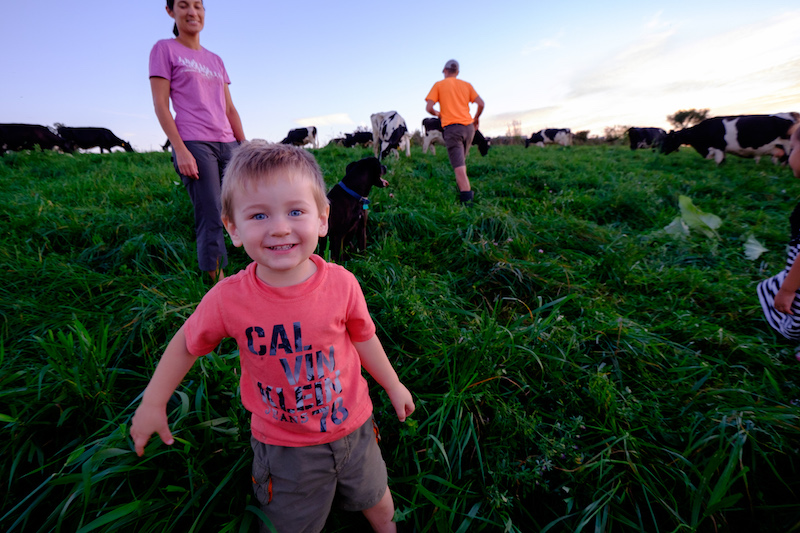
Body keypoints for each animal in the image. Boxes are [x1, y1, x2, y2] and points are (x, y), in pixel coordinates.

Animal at [660, 115, 796, 165]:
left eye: (668, 140)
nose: (660, 151)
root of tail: (788, 120)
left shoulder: (719, 147)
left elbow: (719, 162)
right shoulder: (721, 149)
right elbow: (723, 162)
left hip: (788, 147)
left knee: (787, 160)